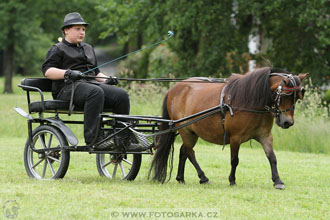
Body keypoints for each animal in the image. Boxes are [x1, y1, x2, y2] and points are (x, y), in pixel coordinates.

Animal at [151, 67, 308, 189]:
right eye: (286, 95)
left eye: (297, 97)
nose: (287, 122)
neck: (251, 100)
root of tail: (175, 89)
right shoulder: (235, 138)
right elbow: (235, 160)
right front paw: (232, 180)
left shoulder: (264, 136)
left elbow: (272, 157)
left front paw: (278, 181)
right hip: (185, 130)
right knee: (189, 152)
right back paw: (203, 177)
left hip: (191, 132)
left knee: (184, 151)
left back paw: (181, 178)